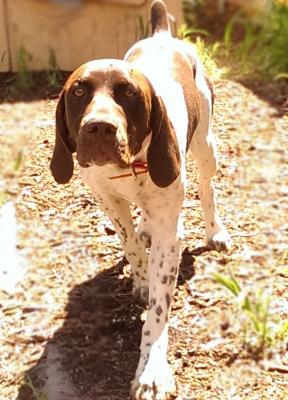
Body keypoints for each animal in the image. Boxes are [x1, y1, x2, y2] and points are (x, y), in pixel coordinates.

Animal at [50, 1, 232, 398]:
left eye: (129, 93)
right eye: (78, 92)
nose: (99, 128)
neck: (132, 164)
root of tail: (162, 34)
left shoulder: (169, 234)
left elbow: (158, 311)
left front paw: (152, 369)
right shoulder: (107, 199)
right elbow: (131, 244)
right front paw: (142, 278)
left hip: (206, 148)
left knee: (207, 189)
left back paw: (216, 231)